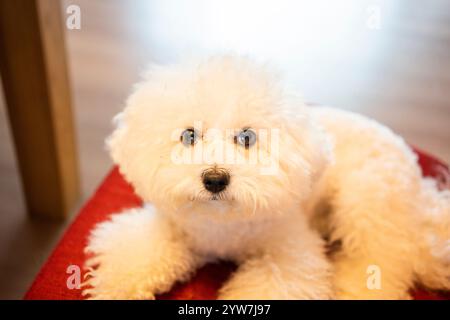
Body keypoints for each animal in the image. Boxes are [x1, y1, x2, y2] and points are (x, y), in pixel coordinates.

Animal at [81, 55, 450, 300]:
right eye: (189, 135)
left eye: (247, 138)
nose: (214, 179)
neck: (221, 226)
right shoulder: (168, 228)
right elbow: (141, 253)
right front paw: (114, 288)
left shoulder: (289, 254)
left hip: (366, 204)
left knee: (383, 260)